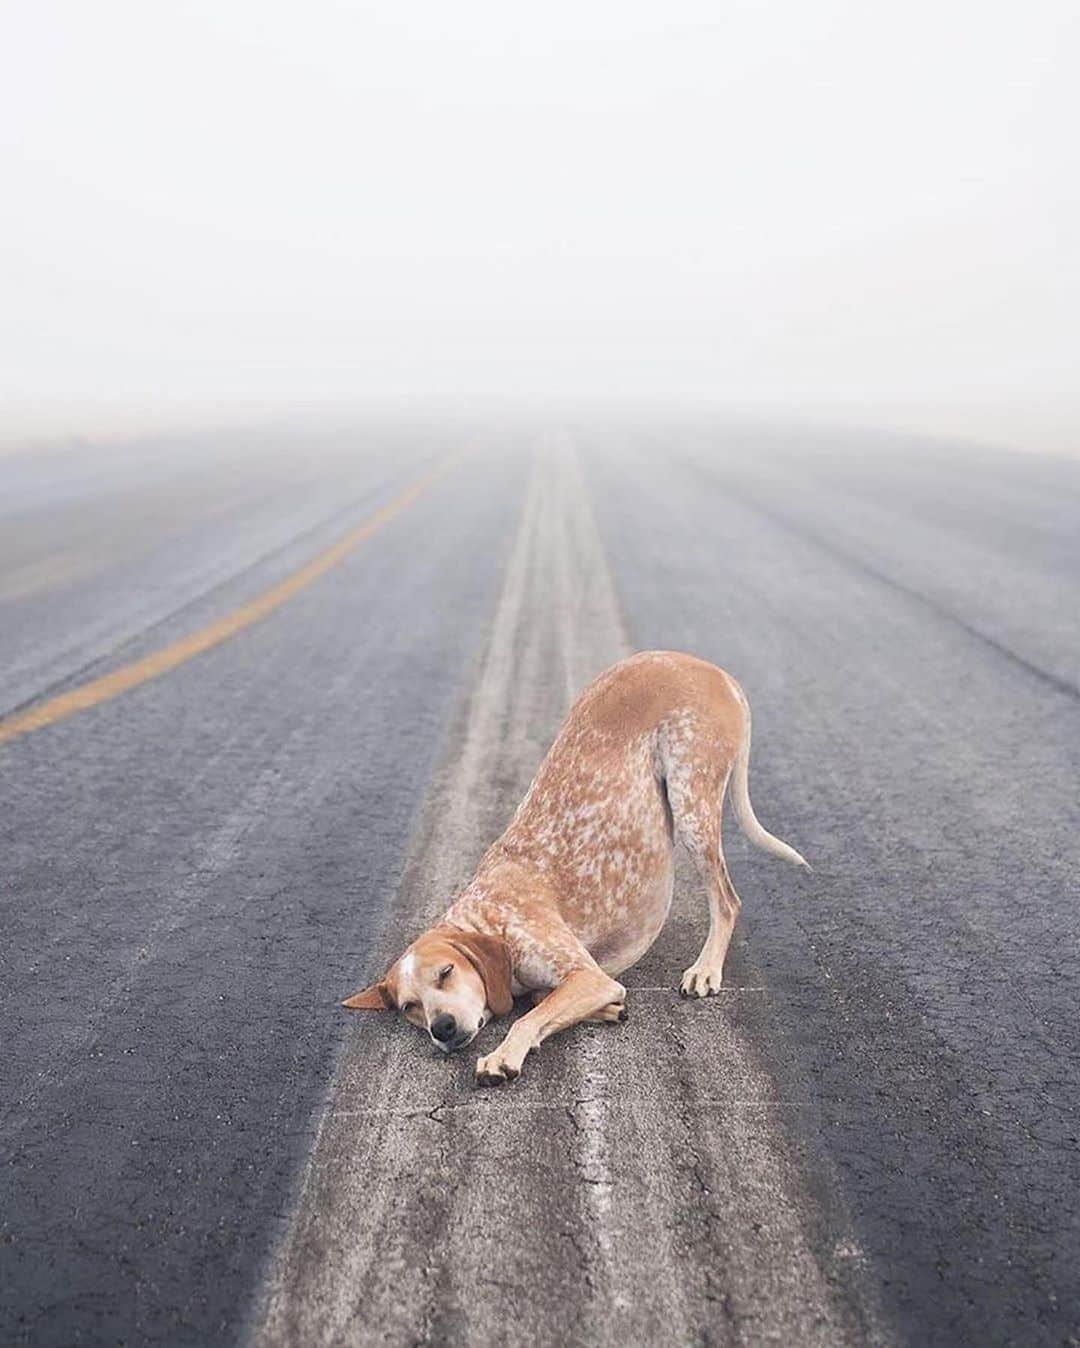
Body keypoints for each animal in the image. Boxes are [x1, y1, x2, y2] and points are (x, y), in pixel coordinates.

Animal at [341, 652, 803, 1083]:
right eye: (410, 1007)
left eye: (446, 972)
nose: (442, 1028)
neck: (488, 920)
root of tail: (708, 667)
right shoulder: (583, 979)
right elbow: (540, 1003)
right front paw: (605, 1010)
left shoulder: (588, 976)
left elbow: (528, 1017)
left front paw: (502, 1055)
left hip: (692, 805)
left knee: (727, 901)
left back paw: (705, 969)